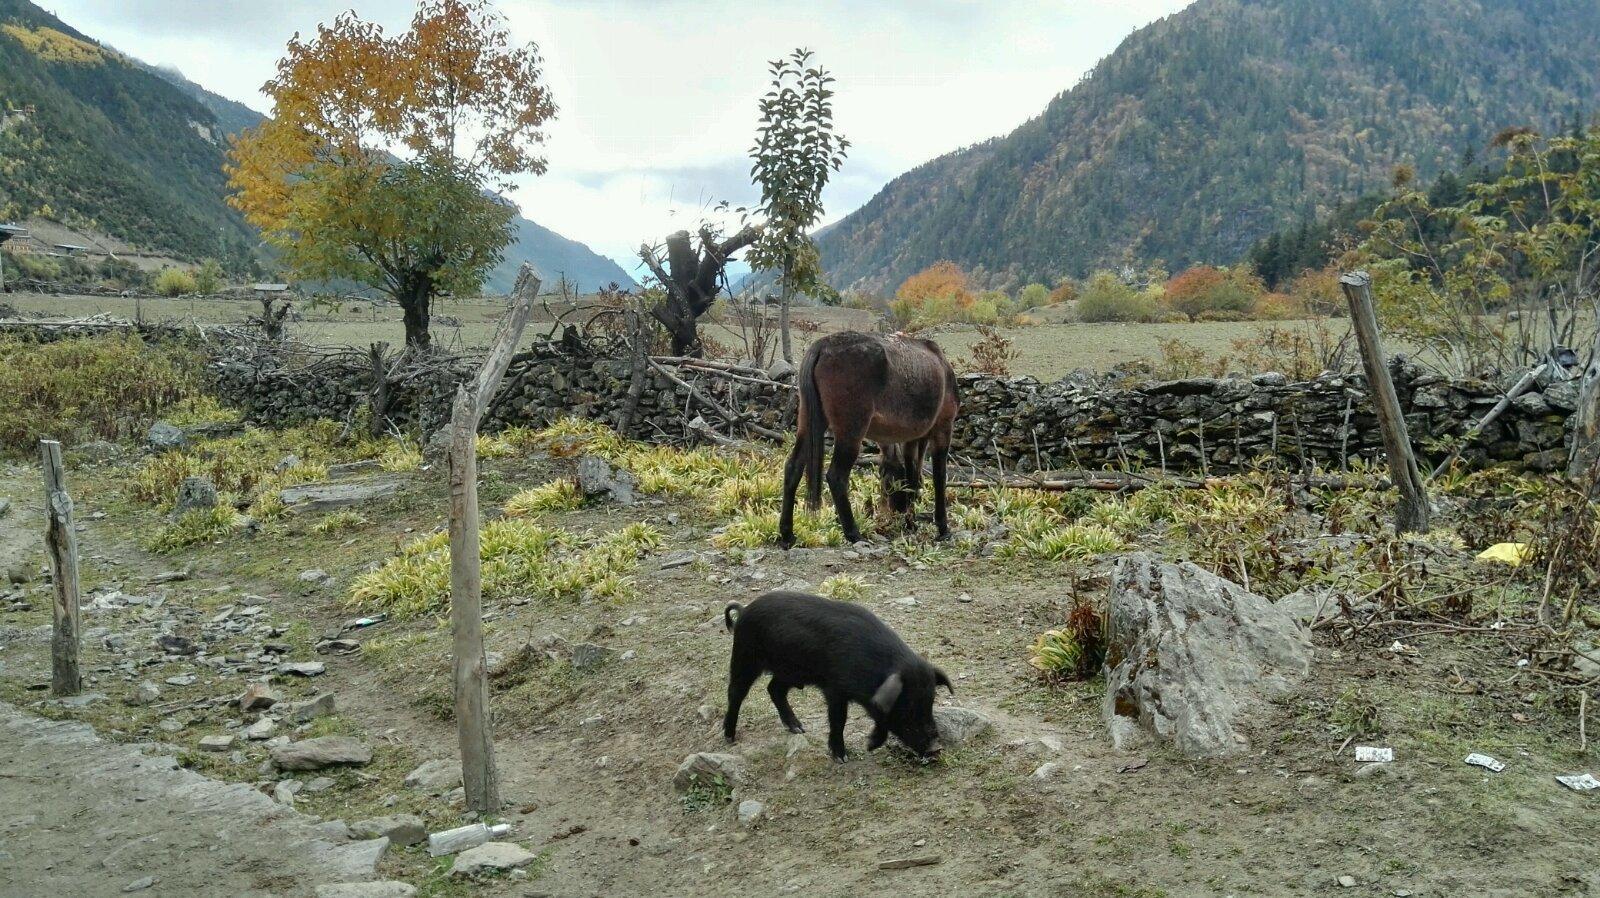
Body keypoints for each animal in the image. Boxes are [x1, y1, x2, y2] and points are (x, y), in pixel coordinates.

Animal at [723, 592, 947, 758]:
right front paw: (842, 756)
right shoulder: (835, 689)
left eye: (931, 702)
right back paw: (729, 738)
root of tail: (744, 610)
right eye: (908, 706)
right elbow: (839, 719)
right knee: (736, 693)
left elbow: (879, 718)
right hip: (745, 657)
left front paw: (869, 745)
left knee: (774, 689)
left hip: (791, 672)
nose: (936, 747)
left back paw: (798, 728)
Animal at [777, 331, 953, 547]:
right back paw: (853, 533)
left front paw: (911, 522)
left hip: (810, 423)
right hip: (852, 431)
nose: (893, 511)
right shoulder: (943, 429)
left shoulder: (913, 439)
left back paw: (787, 534)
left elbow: (913, 476)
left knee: (792, 468)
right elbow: (938, 477)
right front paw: (942, 526)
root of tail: (823, 345)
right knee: (836, 477)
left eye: (885, 477)